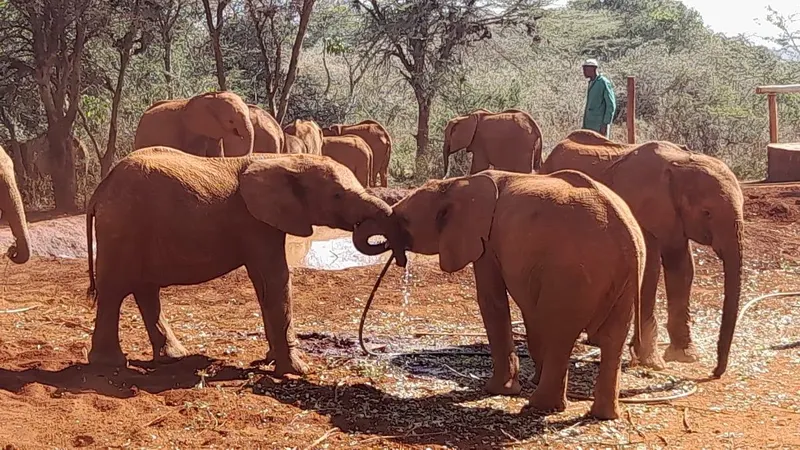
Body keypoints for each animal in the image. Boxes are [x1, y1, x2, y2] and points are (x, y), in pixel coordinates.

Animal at [85, 147, 403, 376]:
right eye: (337, 195)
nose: (395, 251)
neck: (285, 159)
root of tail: (99, 189)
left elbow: (266, 284)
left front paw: (272, 360)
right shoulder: (255, 223)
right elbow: (275, 279)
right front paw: (298, 370)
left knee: (146, 290)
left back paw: (173, 357)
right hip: (122, 224)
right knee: (114, 291)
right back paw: (109, 364)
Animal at [353, 170, 646, 420]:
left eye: (403, 221)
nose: (399, 257)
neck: (457, 183)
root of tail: (627, 236)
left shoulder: (487, 242)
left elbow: (492, 300)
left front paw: (497, 390)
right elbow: (529, 310)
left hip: (574, 275)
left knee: (562, 332)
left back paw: (540, 407)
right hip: (625, 279)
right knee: (613, 339)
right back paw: (603, 415)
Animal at [541, 130, 744, 378]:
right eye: (707, 212)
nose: (714, 372)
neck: (681, 163)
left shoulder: (674, 217)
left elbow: (683, 268)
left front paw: (685, 356)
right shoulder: (642, 211)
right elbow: (649, 270)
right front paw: (653, 361)